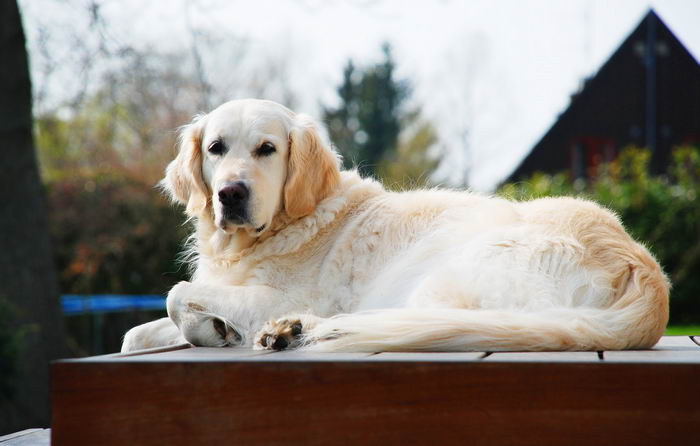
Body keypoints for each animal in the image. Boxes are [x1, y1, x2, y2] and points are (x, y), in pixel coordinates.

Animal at [120, 99, 668, 354]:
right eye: (216, 148)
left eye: (267, 149)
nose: (231, 194)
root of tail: (645, 273)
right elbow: (135, 332)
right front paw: (211, 330)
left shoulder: (273, 296)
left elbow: (176, 293)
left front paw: (214, 330)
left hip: (445, 279)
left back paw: (295, 330)